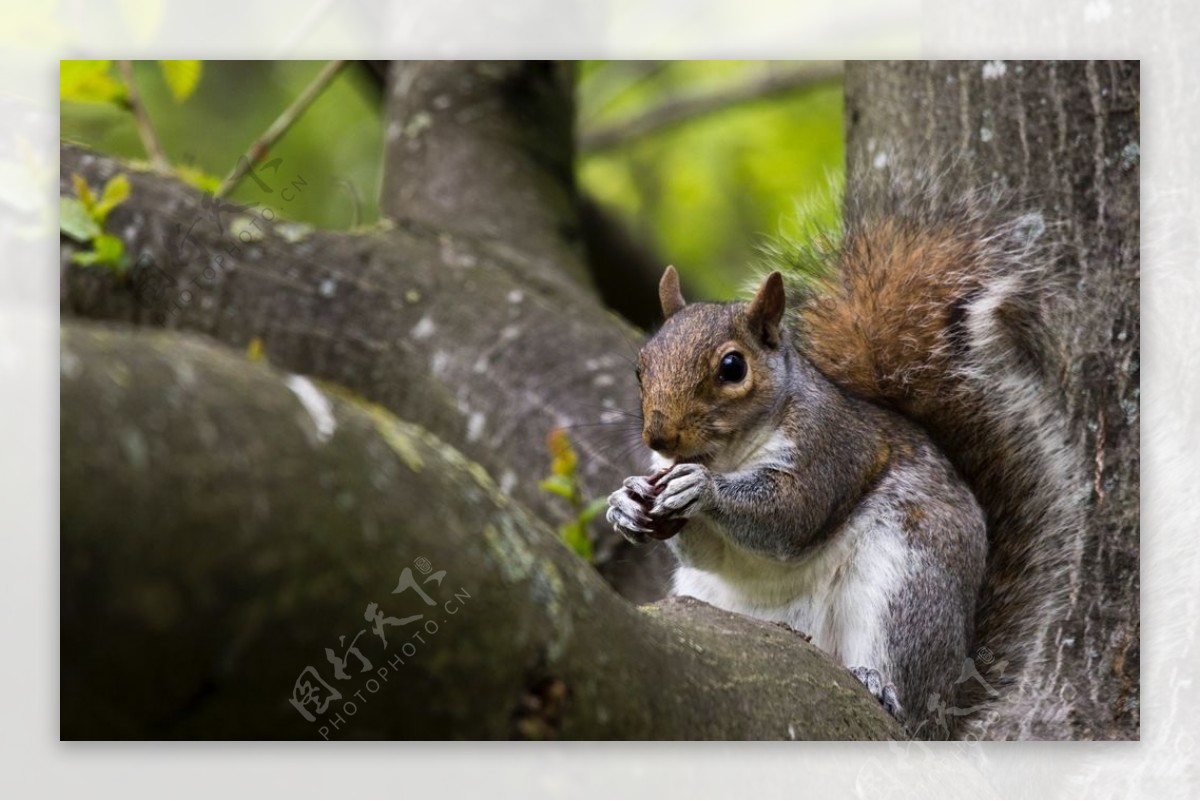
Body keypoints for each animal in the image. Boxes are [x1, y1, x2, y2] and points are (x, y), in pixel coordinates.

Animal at [604, 176, 1084, 738]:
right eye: (641, 366)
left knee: (905, 688)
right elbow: (706, 552)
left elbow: (791, 516)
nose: (659, 435)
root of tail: (949, 706)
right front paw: (626, 502)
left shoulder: (830, 449)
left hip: (908, 582)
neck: (727, 455)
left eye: (732, 367)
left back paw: (881, 688)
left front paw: (701, 489)